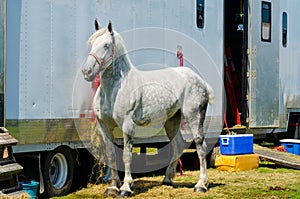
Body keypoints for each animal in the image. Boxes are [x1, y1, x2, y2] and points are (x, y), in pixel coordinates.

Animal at [81, 20, 214, 197]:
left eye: (106, 45)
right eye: (91, 43)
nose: (86, 71)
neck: (115, 89)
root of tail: (200, 80)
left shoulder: (128, 126)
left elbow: (126, 156)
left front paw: (126, 188)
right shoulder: (105, 127)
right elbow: (111, 154)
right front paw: (112, 187)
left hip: (194, 117)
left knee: (201, 146)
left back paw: (201, 185)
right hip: (172, 121)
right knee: (178, 145)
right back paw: (168, 179)